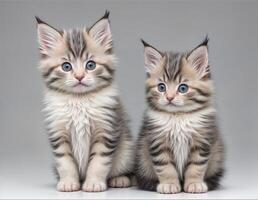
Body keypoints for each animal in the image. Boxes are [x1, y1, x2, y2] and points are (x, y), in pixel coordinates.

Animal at [36, 12, 134, 192]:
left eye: (90, 65)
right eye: (66, 67)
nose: (79, 76)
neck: (79, 100)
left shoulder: (106, 130)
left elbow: (99, 162)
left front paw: (94, 183)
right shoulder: (58, 133)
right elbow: (65, 162)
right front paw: (68, 182)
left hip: (126, 149)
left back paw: (120, 179)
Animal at [136, 38, 225, 194]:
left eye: (183, 88)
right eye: (161, 87)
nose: (169, 98)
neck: (178, 116)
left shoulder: (201, 142)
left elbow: (196, 166)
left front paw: (195, 184)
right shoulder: (158, 142)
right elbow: (165, 167)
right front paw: (169, 184)